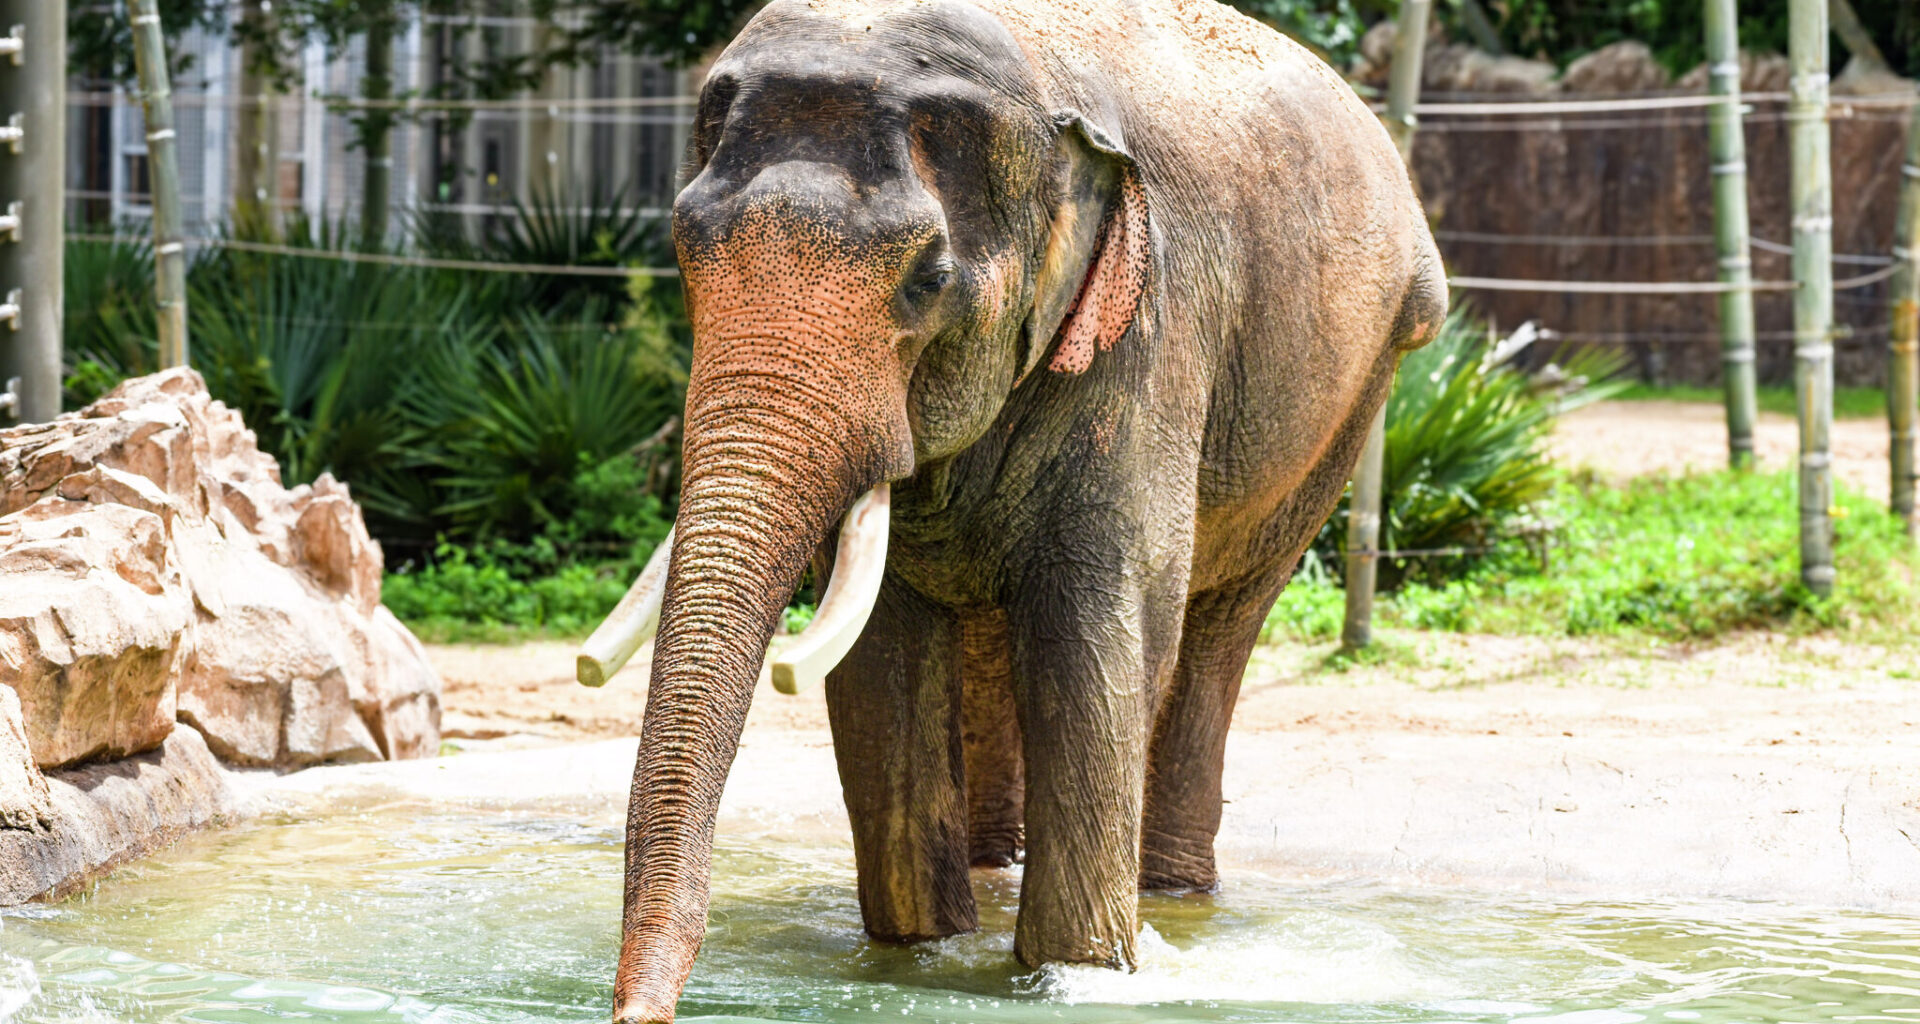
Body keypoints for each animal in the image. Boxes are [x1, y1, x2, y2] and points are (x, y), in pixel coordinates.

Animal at [580, 1, 1446, 1020]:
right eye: (683, 254)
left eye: (926, 279)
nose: (638, 1011)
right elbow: (880, 659)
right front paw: (918, 954)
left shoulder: (1151, 337)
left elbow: (1099, 635)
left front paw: (1077, 975)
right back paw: (1001, 873)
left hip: (1351, 398)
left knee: (1220, 628)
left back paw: (1175, 896)